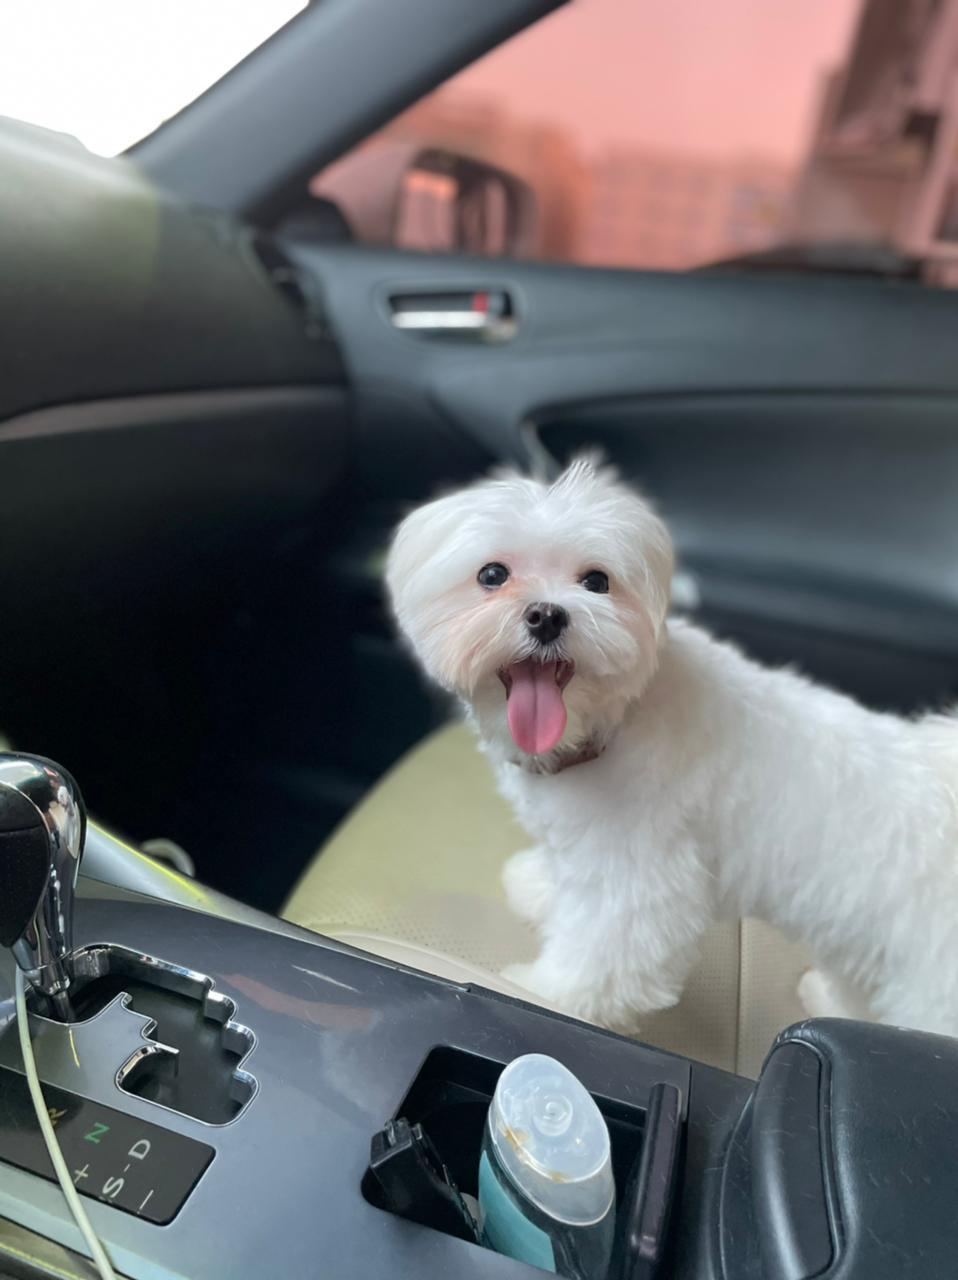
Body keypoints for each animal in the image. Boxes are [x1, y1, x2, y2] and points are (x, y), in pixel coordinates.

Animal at [386, 457, 958, 1037]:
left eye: (597, 581)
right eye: (492, 575)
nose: (547, 615)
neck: (613, 721)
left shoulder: (639, 877)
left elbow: (605, 955)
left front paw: (542, 993)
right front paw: (539, 886)